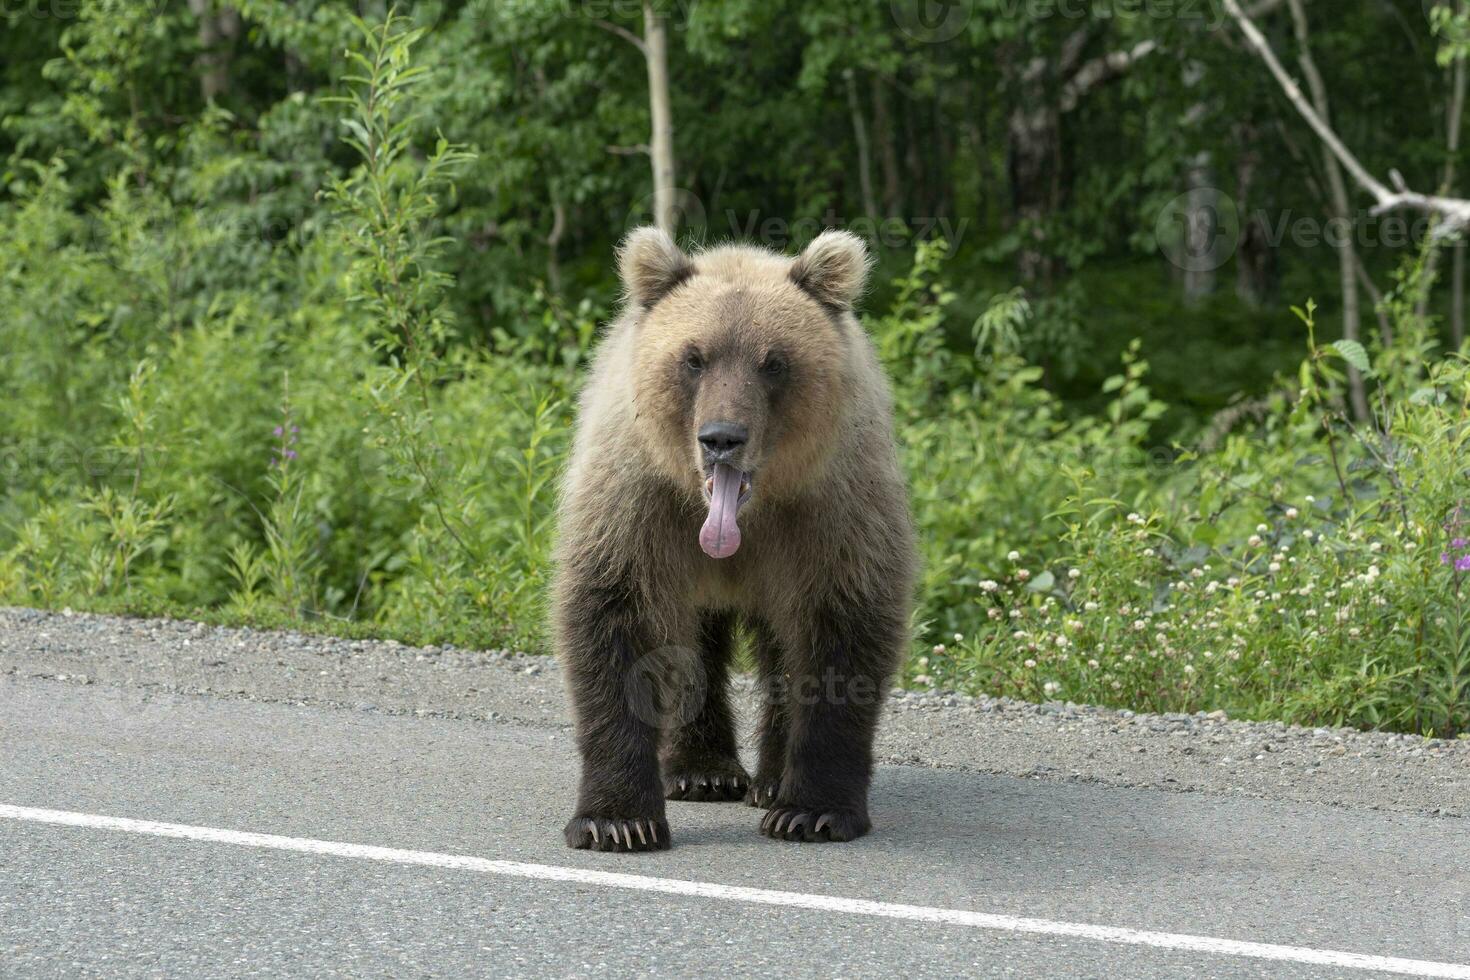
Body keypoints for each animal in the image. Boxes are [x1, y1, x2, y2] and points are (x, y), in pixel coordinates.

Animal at [552, 227, 911, 852]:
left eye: (774, 362)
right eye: (694, 358)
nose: (722, 437)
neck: (743, 517)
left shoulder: (832, 508)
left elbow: (841, 630)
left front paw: (811, 810)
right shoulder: (638, 500)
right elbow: (615, 615)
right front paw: (617, 820)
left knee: (781, 645)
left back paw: (768, 782)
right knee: (691, 642)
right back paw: (702, 771)